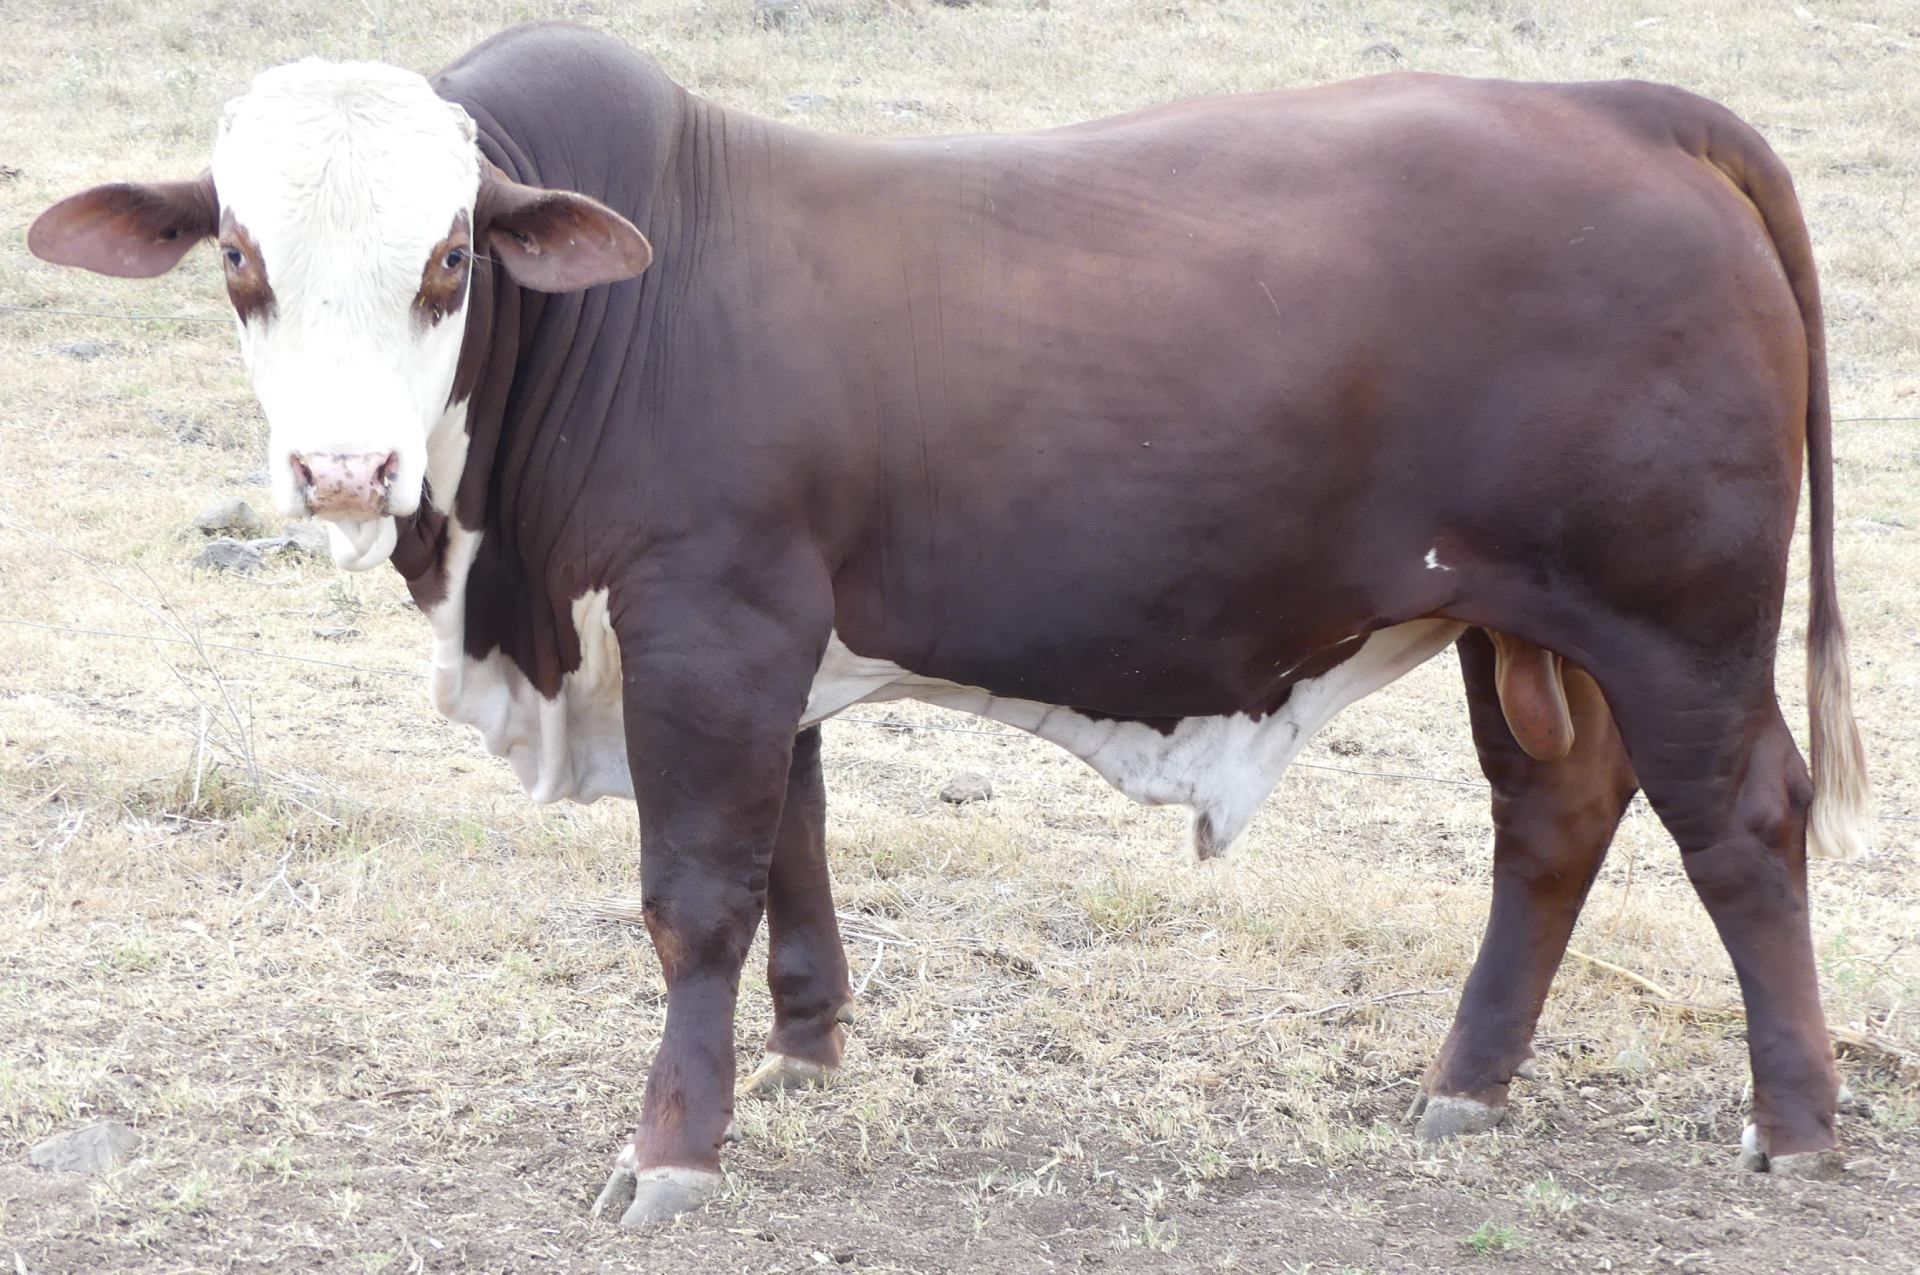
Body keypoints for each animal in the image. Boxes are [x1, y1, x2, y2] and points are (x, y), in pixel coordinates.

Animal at [29, 21, 1872, 1226]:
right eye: (242, 258)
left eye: (448, 262)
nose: (343, 468)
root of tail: (1616, 109)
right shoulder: (761, 636)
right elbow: (793, 847)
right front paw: (804, 1052)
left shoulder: (709, 618)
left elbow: (696, 893)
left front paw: (670, 1148)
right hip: (1528, 622)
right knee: (1553, 820)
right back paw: (1467, 1084)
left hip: (1679, 617)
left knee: (1742, 825)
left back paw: (1794, 1122)